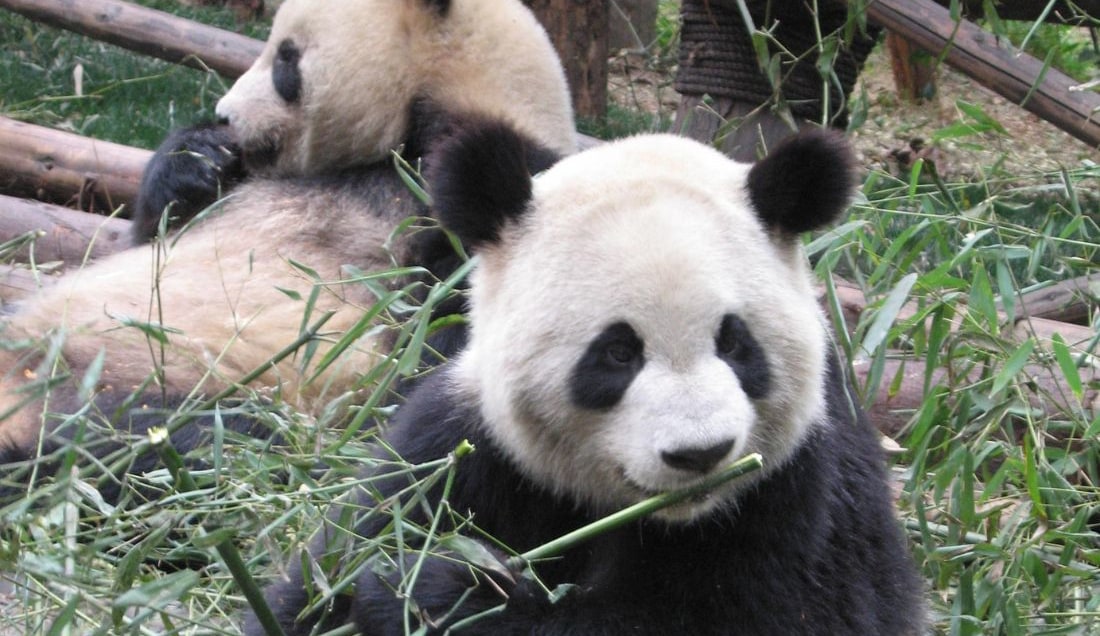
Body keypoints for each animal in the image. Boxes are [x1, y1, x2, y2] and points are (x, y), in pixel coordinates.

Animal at [0, 0, 573, 498]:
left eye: (286, 58)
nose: (225, 115)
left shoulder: (489, 196)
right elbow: (156, 232)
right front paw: (196, 156)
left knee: (192, 440)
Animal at [245, 120, 926, 634]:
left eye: (735, 343)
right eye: (618, 353)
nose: (701, 454)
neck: (668, 514)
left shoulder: (801, 490)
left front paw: (435, 593)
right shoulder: (463, 447)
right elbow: (333, 569)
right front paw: (397, 578)